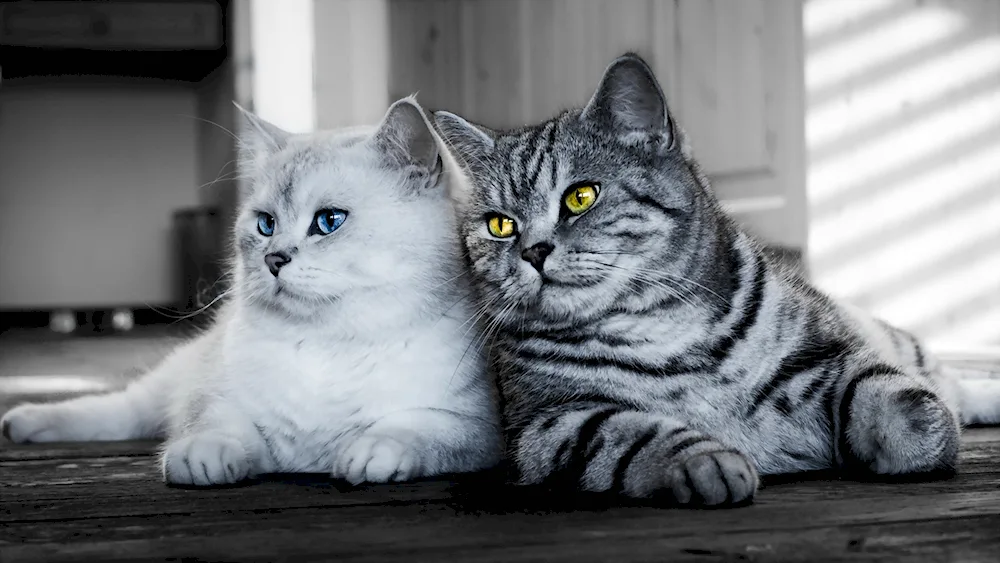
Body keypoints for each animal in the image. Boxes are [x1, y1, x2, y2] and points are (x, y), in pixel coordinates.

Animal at [0, 99, 500, 486]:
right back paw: (25, 423)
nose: (273, 259)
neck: (329, 346)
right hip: (172, 378)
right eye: (265, 224)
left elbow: (416, 429)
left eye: (329, 221)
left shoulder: (478, 428)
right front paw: (204, 459)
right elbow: (216, 426)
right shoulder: (219, 399)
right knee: (120, 411)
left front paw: (370, 454)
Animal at [434, 55, 1000, 508]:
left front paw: (919, 436)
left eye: (581, 196)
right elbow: (631, 434)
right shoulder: (548, 425)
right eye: (500, 225)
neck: (656, 330)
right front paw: (706, 462)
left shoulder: (828, 352)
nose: (532, 250)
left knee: (947, 380)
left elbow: (890, 393)